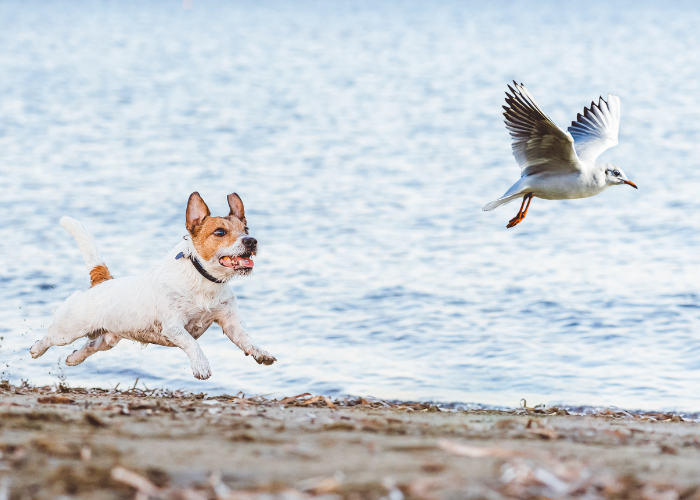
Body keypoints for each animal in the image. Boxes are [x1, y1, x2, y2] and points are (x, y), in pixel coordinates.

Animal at [30, 191, 276, 378]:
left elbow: (246, 339)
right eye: (220, 232)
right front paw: (201, 365)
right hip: (67, 331)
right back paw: (35, 349)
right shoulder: (174, 326)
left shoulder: (230, 322)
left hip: (108, 339)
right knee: (50, 337)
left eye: (246, 231)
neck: (204, 280)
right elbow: (191, 343)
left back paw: (73, 359)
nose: (251, 241)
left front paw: (260, 352)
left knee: (90, 346)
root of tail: (101, 281)